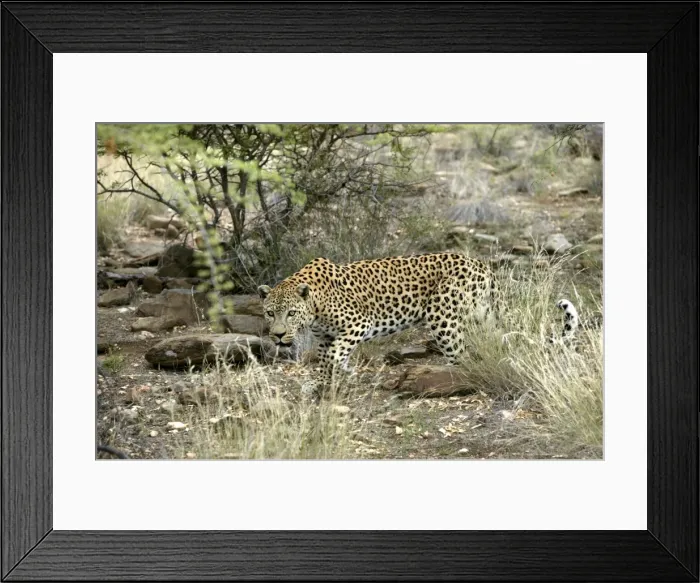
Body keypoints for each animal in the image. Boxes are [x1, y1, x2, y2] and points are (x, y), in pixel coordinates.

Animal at [258, 253, 576, 389]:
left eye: (290, 313)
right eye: (270, 313)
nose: (278, 335)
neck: (314, 305)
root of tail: (481, 265)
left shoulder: (358, 324)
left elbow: (333, 356)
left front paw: (333, 375)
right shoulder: (325, 336)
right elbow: (328, 359)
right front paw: (323, 383)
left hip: (442, 315)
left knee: (459, 355)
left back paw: (447, 381)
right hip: (481, 314)